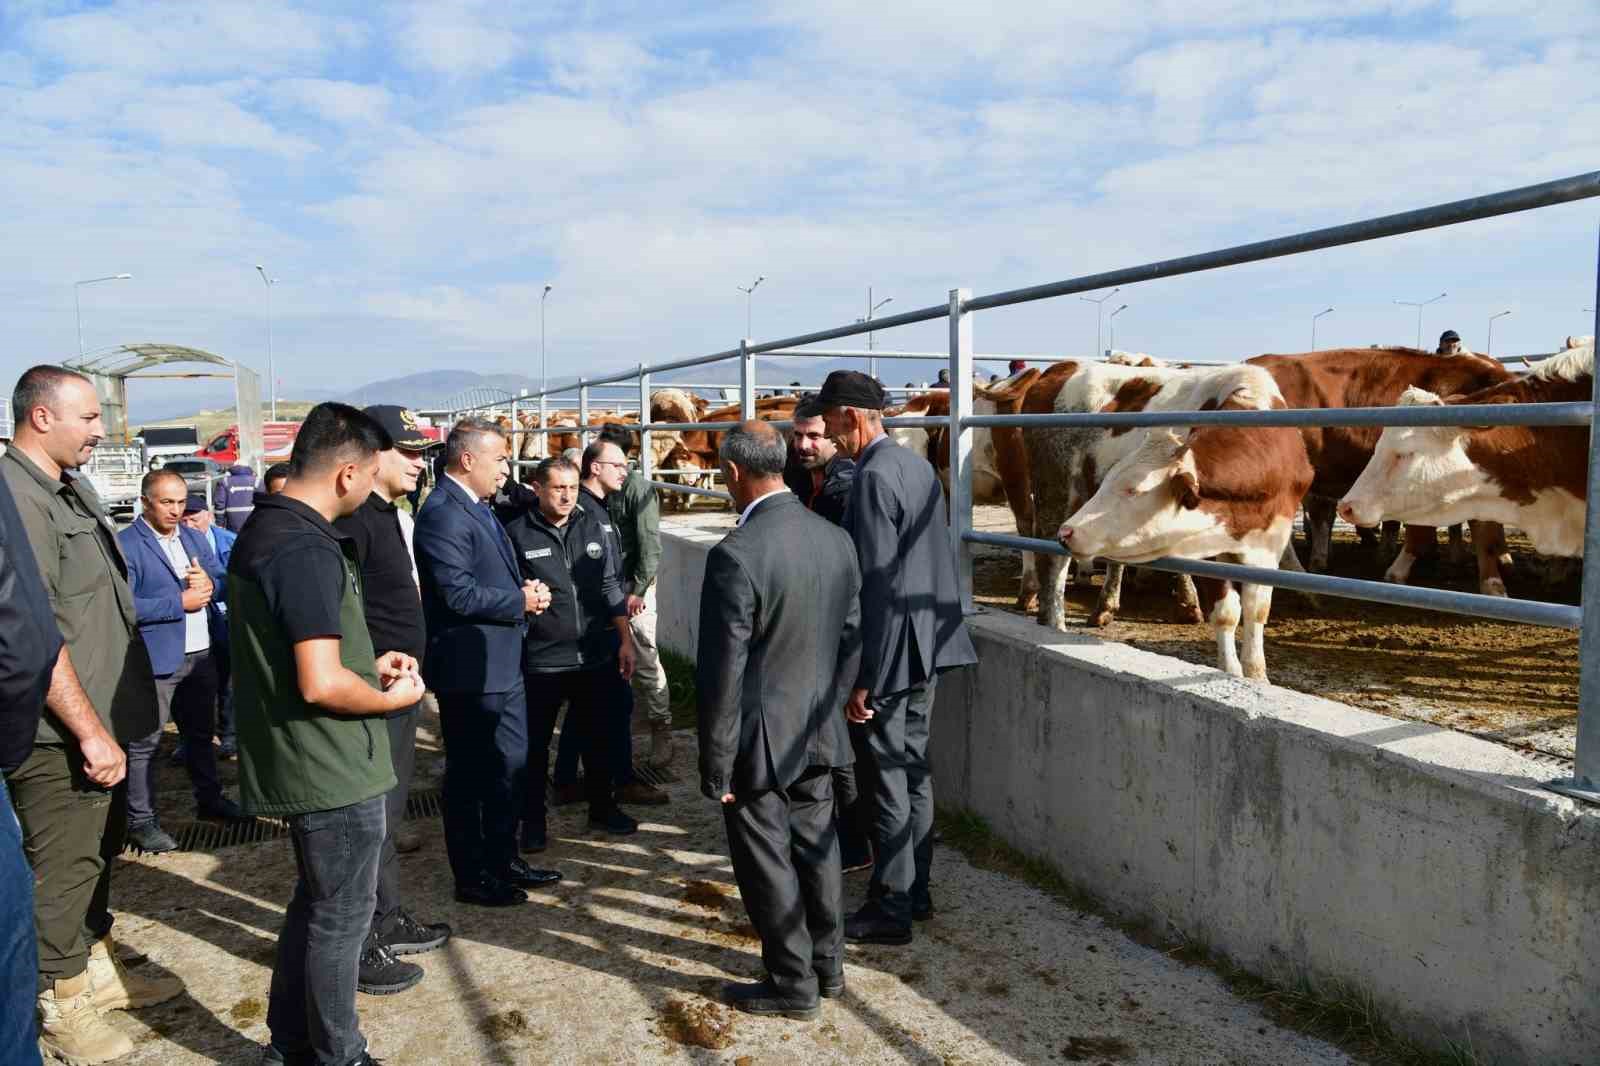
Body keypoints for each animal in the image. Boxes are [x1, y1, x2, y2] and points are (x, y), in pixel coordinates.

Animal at [1049, 363, 1312, 681]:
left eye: (1133, 489)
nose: (1068, 532)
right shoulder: (1207, 548)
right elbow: (1226, 613)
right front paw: (1231, 671)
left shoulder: (1271, 544)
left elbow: (1256, 611)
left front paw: (1257, 675)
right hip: (1058, 493)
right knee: (1055, 565)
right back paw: (1056, 622)